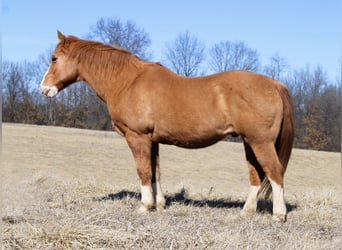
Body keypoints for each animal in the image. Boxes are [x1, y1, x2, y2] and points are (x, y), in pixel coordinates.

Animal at [40, 30, 294, 221]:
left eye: (54, 58)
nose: (44, 89)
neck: (127, 81)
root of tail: (275, 84)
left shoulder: (138, 137)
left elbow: (143, 171)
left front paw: (144, 206)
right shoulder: (152, 140)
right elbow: (156, 172)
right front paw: (159, 205)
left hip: (260, 142)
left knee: (274, 172)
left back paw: (279, 215)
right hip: (249, 142)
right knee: (257, 174)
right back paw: (246, 211)